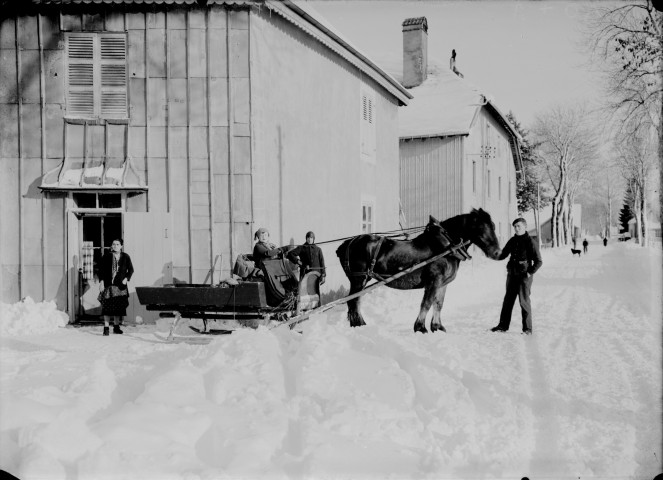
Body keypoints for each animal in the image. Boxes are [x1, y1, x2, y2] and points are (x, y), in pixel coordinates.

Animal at [338, 210, 504, 334]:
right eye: (482, 227)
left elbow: (439, 304)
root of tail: (348, 242)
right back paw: (359, 325)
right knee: (354, 301)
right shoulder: (434, 281)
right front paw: (420, 328)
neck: (447, 247)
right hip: (359, 279)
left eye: (493, 226)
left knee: (355, 301)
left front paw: (437, 327)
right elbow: (426, 303)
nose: (497, 252)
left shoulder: (443, 284)